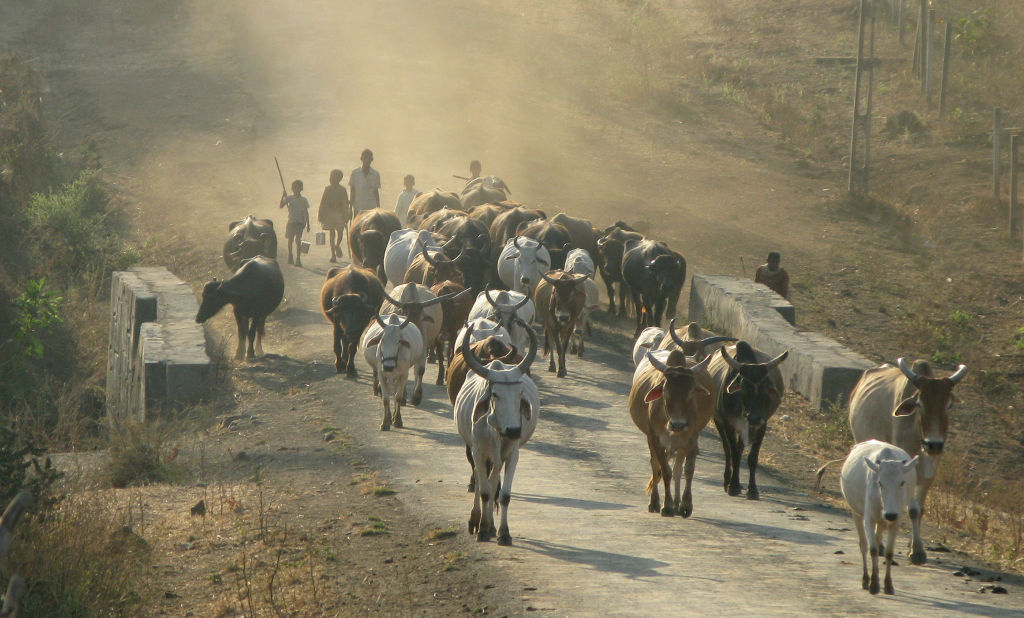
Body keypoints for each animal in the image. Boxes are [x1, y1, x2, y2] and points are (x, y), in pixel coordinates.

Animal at [452, 321, 540, 544]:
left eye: (520, 393)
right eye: (495, 394)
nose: (514, 429)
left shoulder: (512, 454)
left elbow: (503, 494)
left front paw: (503, 532)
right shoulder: (478, 452)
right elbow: (484, 491)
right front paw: (482, 528)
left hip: (498, 457)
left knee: (494, 485)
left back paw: (491, 525)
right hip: (479, 453)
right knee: (481, 483)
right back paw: (476, 521)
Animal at [626, 349, 716, 519]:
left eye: (691, 392)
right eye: (666, 391)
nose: (678, 424)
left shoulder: (692, 439)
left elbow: (688, 469)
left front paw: (685, 505)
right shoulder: (655, 439)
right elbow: (664, 471)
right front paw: (666, 506)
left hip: (680, 445)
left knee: (677, 469)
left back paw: (677, 503)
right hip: (652, 440)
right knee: (655, 466)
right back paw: (655, 503)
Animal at [839, 439, 921, 593]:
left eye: (902, 482)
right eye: (880, 483)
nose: (890, 514)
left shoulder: (896, 521)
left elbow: (889, 552)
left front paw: (888, 585)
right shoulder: (869, 519)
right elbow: (872, 549)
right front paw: (873, 584)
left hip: (881, 522)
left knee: (877, 542)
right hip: (856, 513)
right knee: (864, 545)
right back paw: (866, 579)